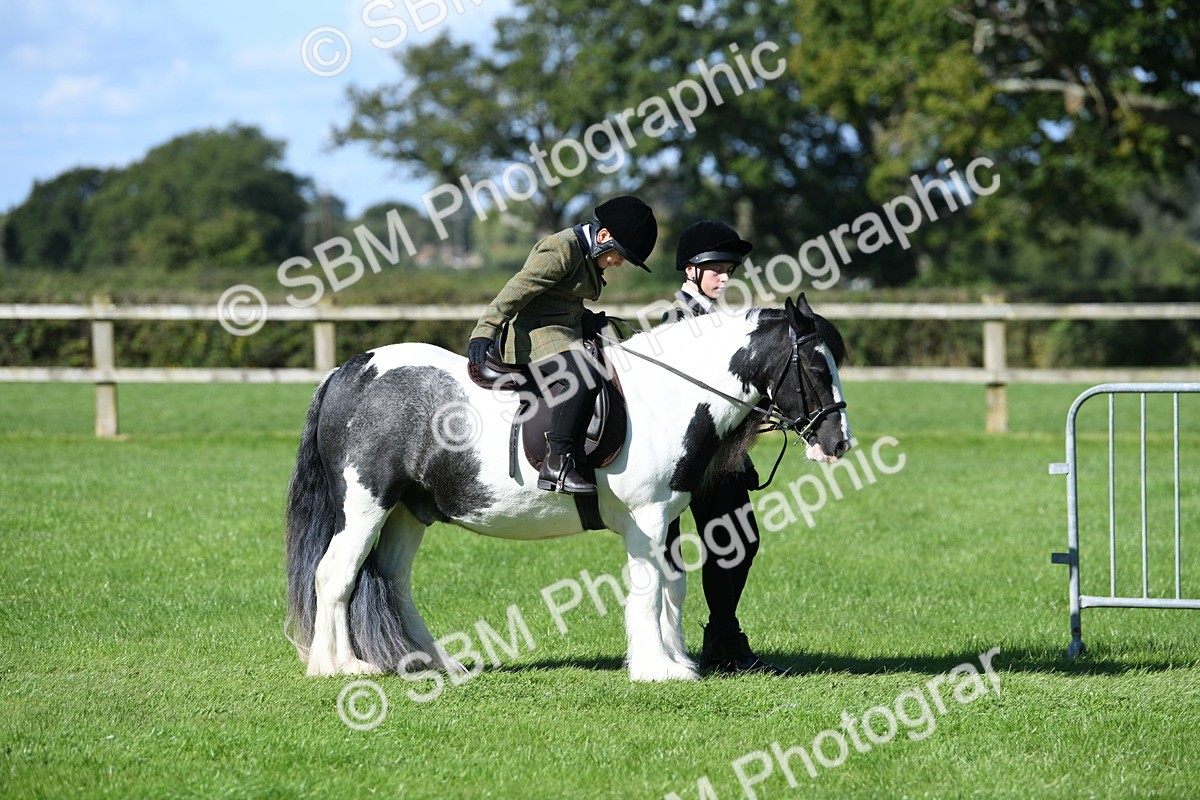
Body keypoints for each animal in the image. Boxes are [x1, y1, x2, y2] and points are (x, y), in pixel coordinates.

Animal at [284, 292, 850, 682]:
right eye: (815, 365)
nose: (838, 441)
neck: (666, 395)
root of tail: (348, 372)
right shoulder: (647, 518)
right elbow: (648, 589)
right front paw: (655, 669)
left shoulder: (666, 517)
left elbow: (674, 587)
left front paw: (677, 661)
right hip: (365, 507)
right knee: (334, 577)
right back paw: (339, 666)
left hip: (407, 512)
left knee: (393, 584)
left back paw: (440, 663)